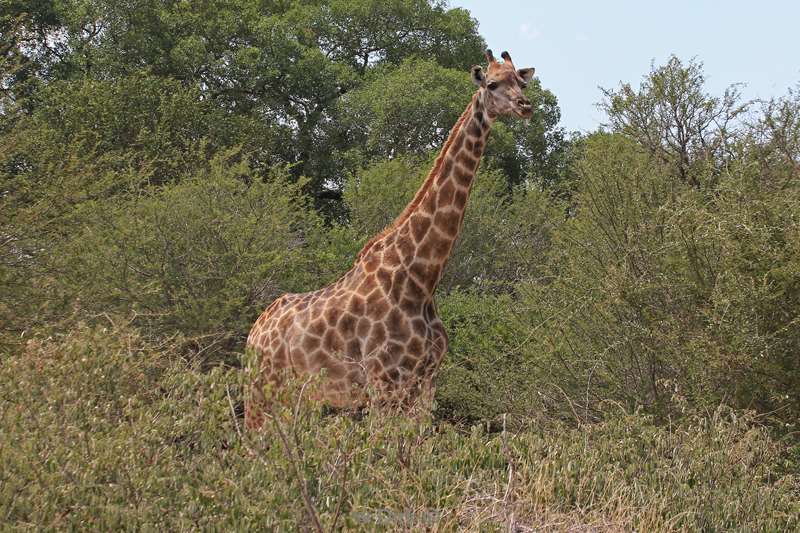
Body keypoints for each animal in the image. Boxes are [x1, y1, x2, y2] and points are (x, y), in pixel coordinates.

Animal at [247, 47, 536, 426]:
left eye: (521, 81)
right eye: (491, 83)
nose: (525, 105)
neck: (421, 276)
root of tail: (252, 334)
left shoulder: (426, 383)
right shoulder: (384, 382)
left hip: (301, 397)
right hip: (262, 391)